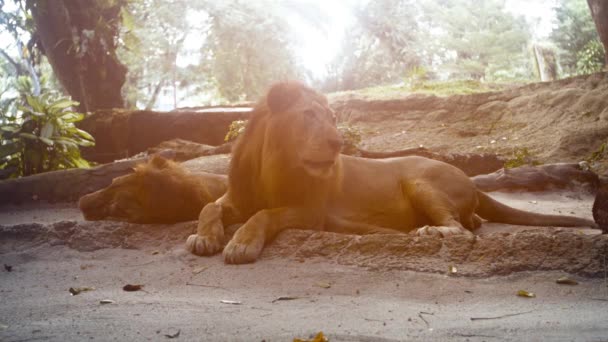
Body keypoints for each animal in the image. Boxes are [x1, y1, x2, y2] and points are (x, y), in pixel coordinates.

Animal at [182, 81, 600, 264]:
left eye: (333, 118)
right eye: (308, 116)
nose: (338, 143)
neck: (271, 166)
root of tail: (468, 178)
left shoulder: (310, 212)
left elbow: (265, 214)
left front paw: (240, 244)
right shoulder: (234, 197)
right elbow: (208, 207)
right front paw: (204, 238)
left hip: (419, 180)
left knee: (462, 230)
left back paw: (426, 231)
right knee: (473, 224)